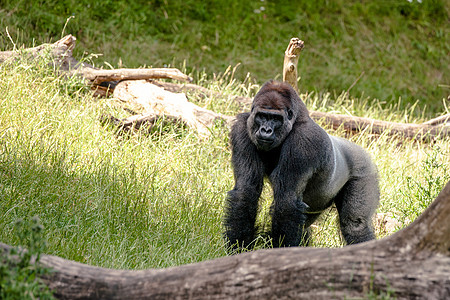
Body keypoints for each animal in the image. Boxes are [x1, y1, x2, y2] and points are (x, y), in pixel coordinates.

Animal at [225, 81, 380, 250]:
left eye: (276, 118)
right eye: (262, 116)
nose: (266, 130)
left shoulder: (303, 141)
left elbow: (287, 202)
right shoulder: (242, 128)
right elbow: (246, 191)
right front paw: (239, 247)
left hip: (364, 168)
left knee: (355, 225)